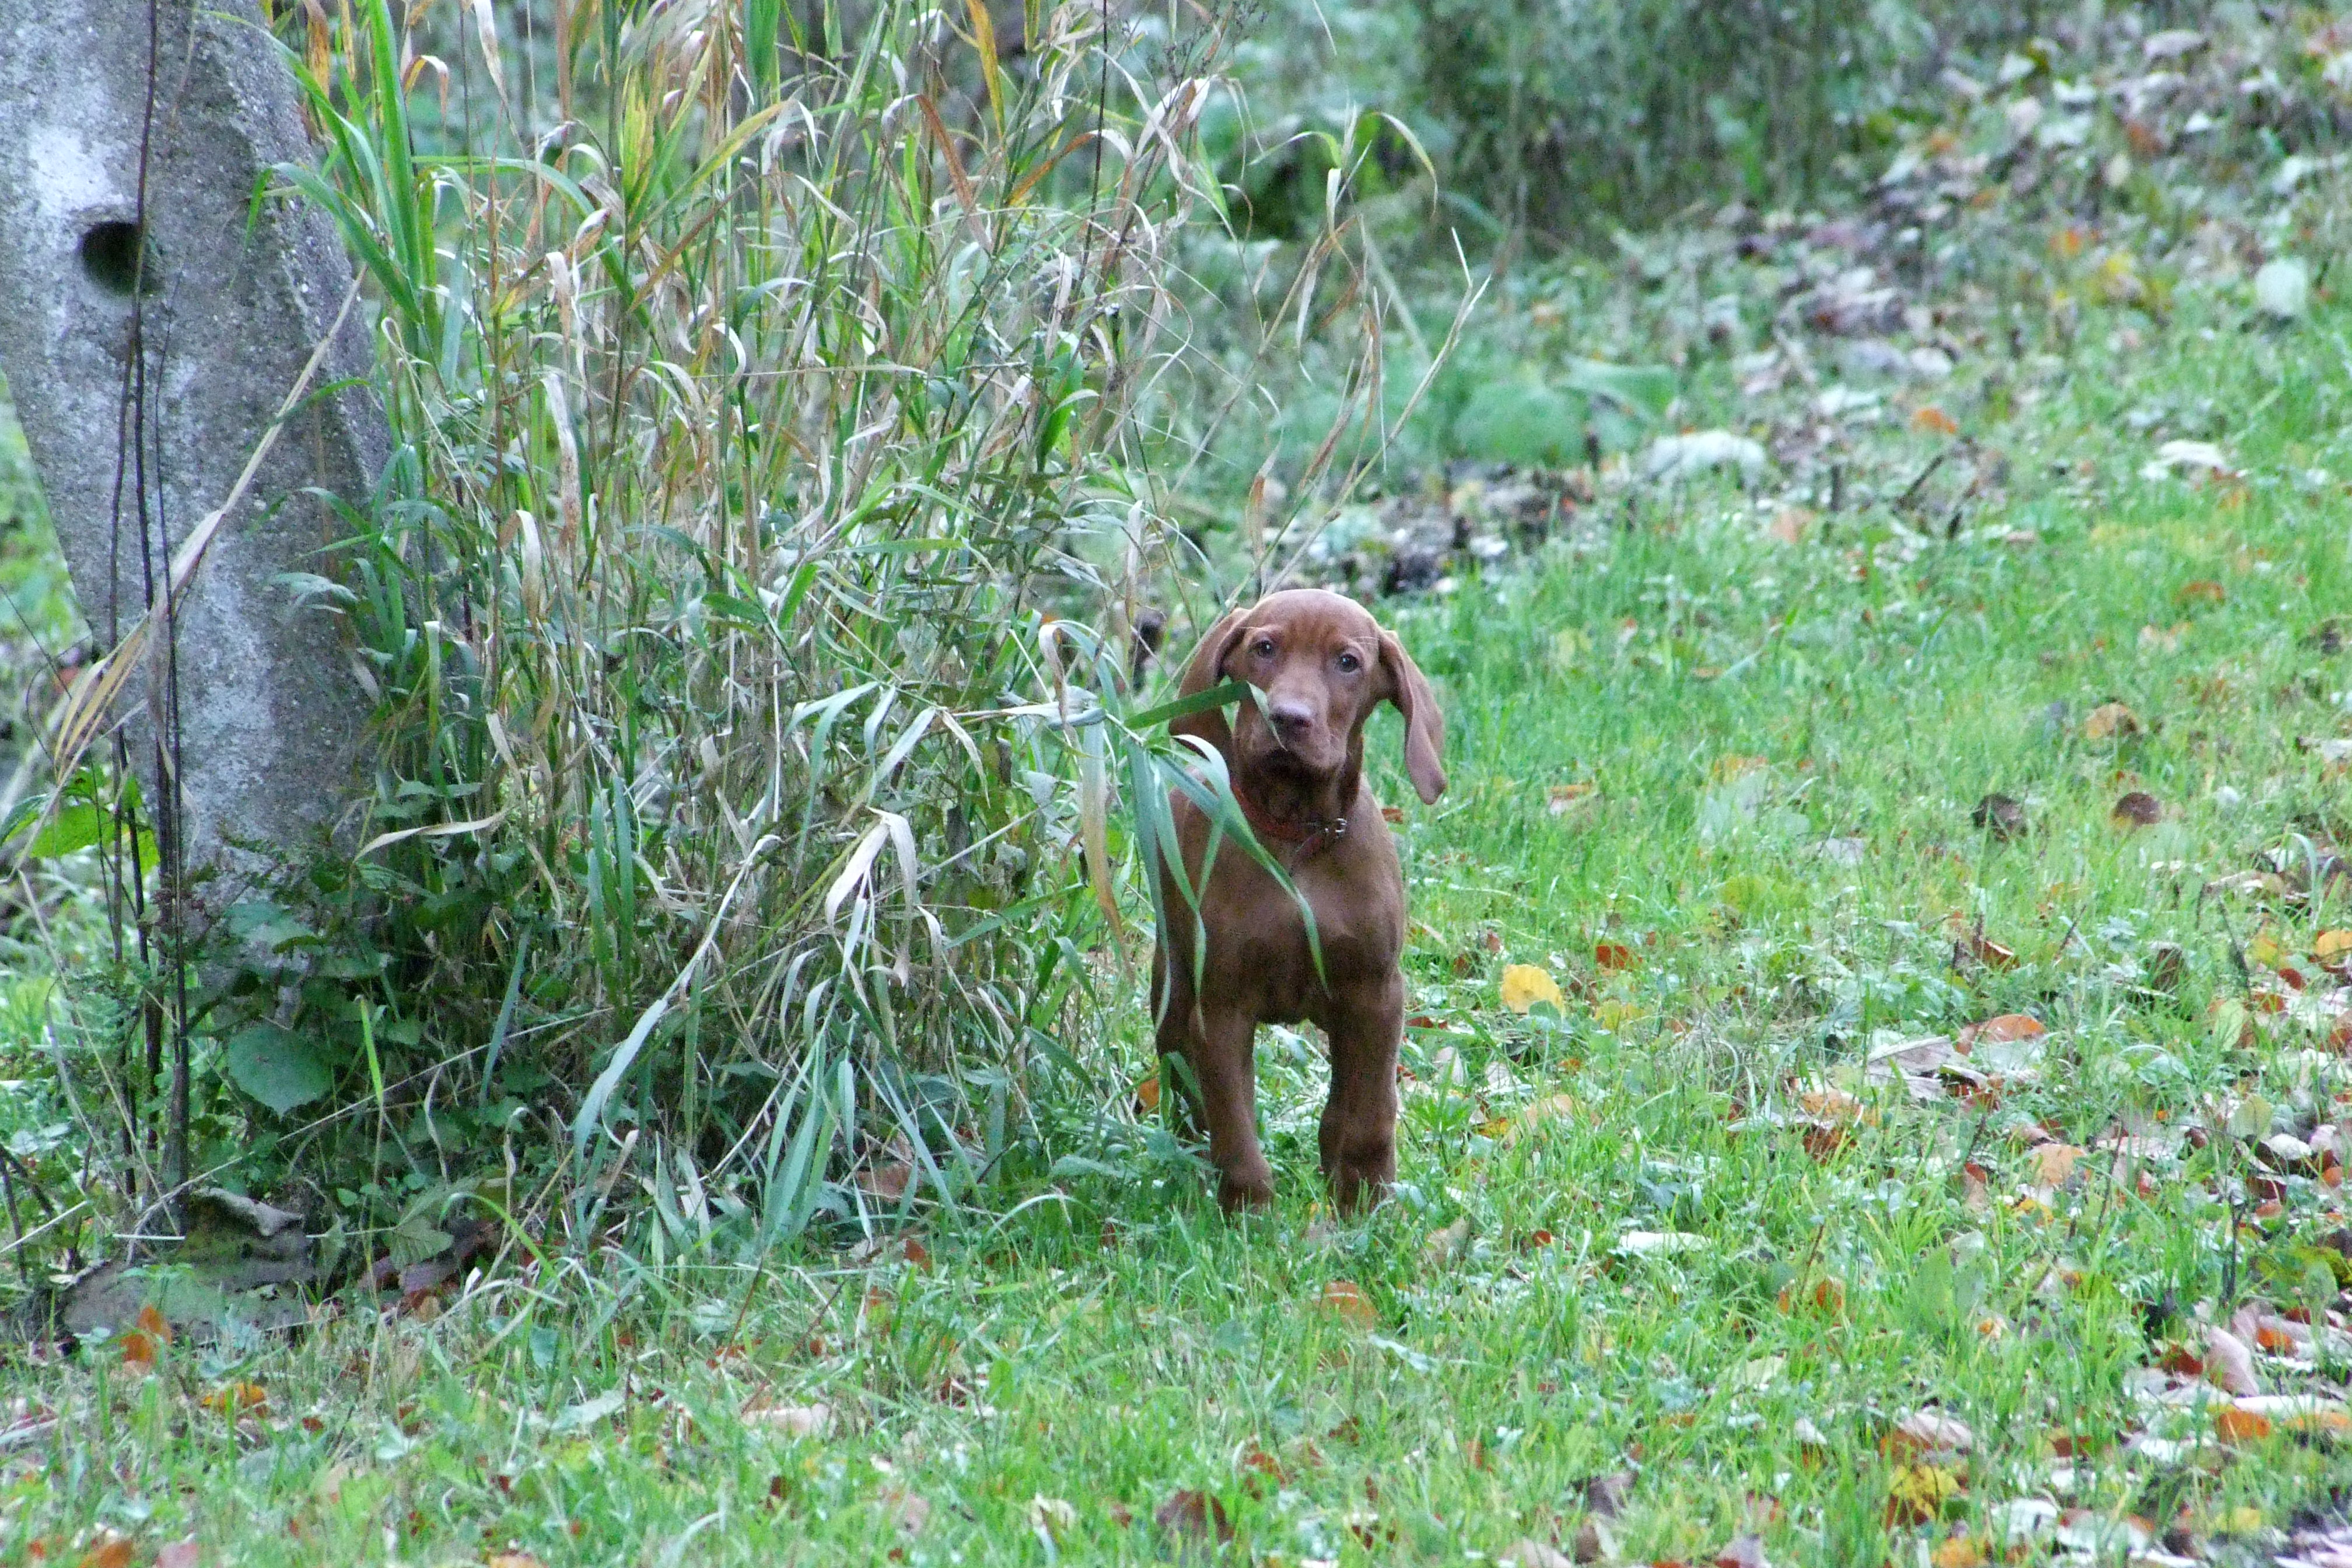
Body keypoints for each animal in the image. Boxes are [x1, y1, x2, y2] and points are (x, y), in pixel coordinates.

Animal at [1147, 587, 1439, 1213]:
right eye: (1264, 648)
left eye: (1348, 662)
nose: (1288, 718)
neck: (1296, 834)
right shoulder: (1222, 1006)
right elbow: (1234, 1123)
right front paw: (1250, 1214)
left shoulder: (1376, 995)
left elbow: (1367, 1115)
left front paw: (1366, 1203)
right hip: (1173, 986)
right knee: (1186, 1087)